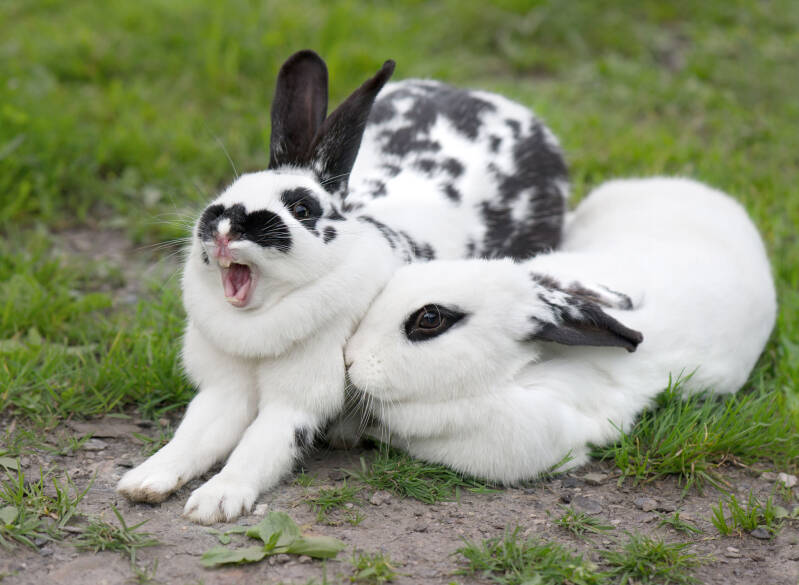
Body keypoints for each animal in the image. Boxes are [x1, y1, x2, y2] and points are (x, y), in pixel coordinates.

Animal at [116, 49, 569, 523]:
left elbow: (259, 448)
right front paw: (144, 481)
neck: (256, 325)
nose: (223, 227)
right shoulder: (222, 391)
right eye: (228, 189)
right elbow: (193, 437)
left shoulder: (297, 401)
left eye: (301, 209)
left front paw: (215, 501)